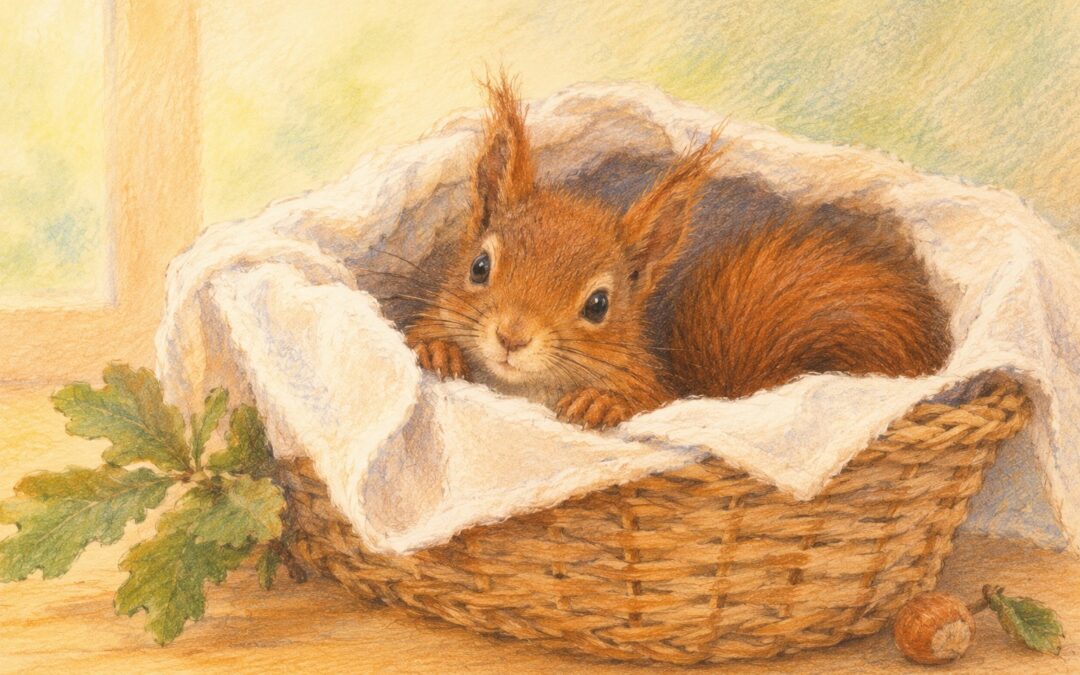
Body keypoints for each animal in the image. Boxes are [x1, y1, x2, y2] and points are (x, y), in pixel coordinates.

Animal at [403, 75, 952, 429]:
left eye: (598, 305)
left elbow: (642, 401)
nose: (511, 337)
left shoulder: (656, 392)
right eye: (480, 266)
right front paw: (437, 350)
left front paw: (600, 406)